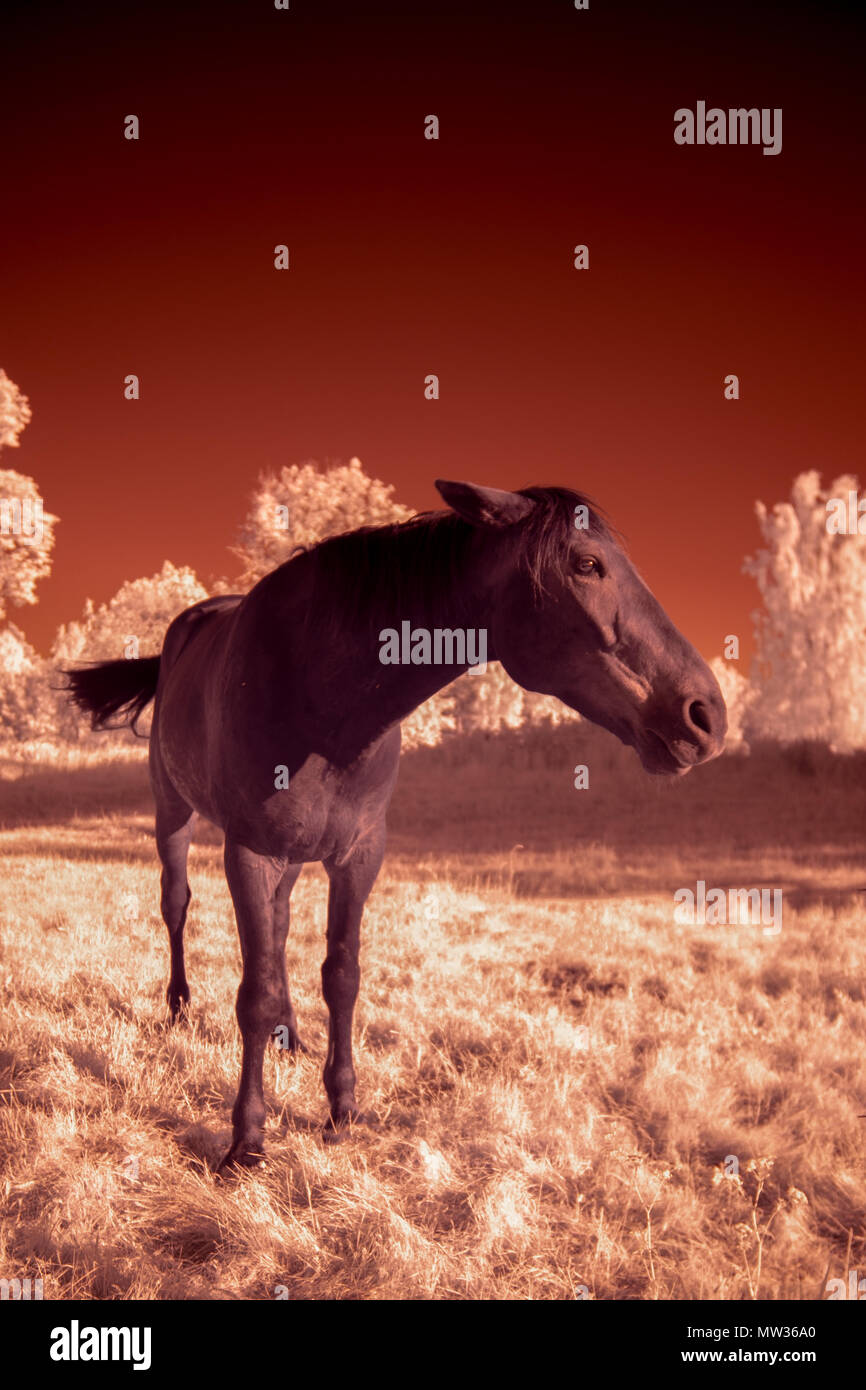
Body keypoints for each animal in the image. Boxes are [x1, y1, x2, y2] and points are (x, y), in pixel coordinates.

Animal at [65, 480, 727, 1170]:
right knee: (177, 903)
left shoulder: (359, 854)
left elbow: (341, 976)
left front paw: (342, 1110)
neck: (319, 700)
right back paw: (179, 1007)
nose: (705, 714)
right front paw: (246, 1142)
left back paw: (289, 1036)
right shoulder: (248, 851)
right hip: (174, 811)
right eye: (588, 564)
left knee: (279, 928)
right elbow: (254, 994)